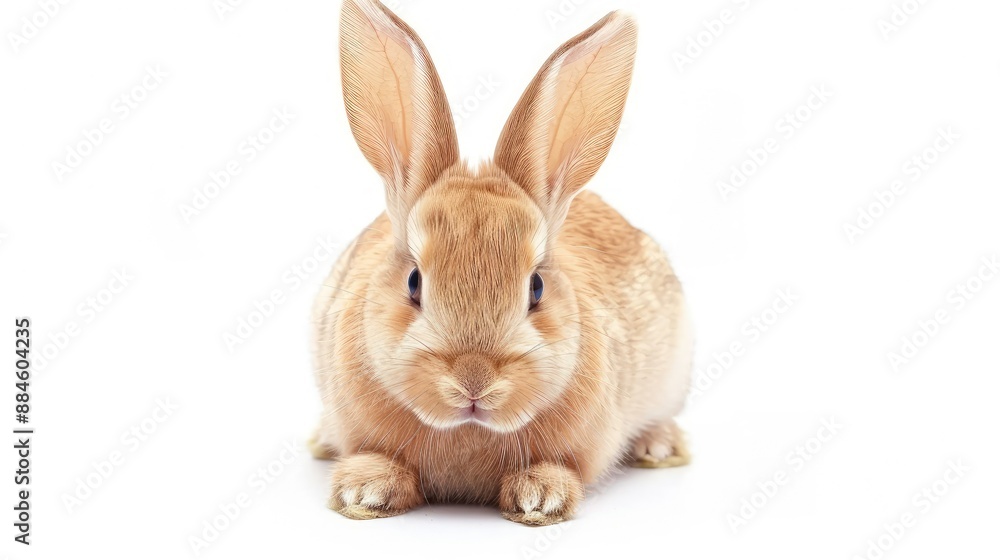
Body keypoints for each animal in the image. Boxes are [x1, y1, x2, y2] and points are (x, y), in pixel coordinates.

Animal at [310, 0, 692, 526]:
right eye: (414, 282)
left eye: (536, 288)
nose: (474, 382)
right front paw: (364, 492)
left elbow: (560, 469)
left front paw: (540, 499)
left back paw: (660, 448)